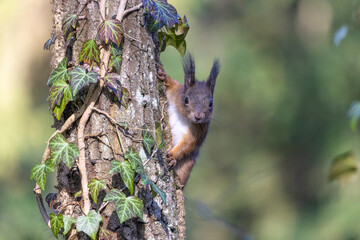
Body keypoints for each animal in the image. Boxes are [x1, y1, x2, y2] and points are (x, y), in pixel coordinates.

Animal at [157, 53, 219, 187]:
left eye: (211, 103)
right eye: (186, 99)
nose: (198, 116)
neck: (184, 116)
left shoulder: (200, 130)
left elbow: (188, 143)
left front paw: (173, 156)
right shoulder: (175, 92)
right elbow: (173, 85)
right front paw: (163, 76)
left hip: (188, 164)